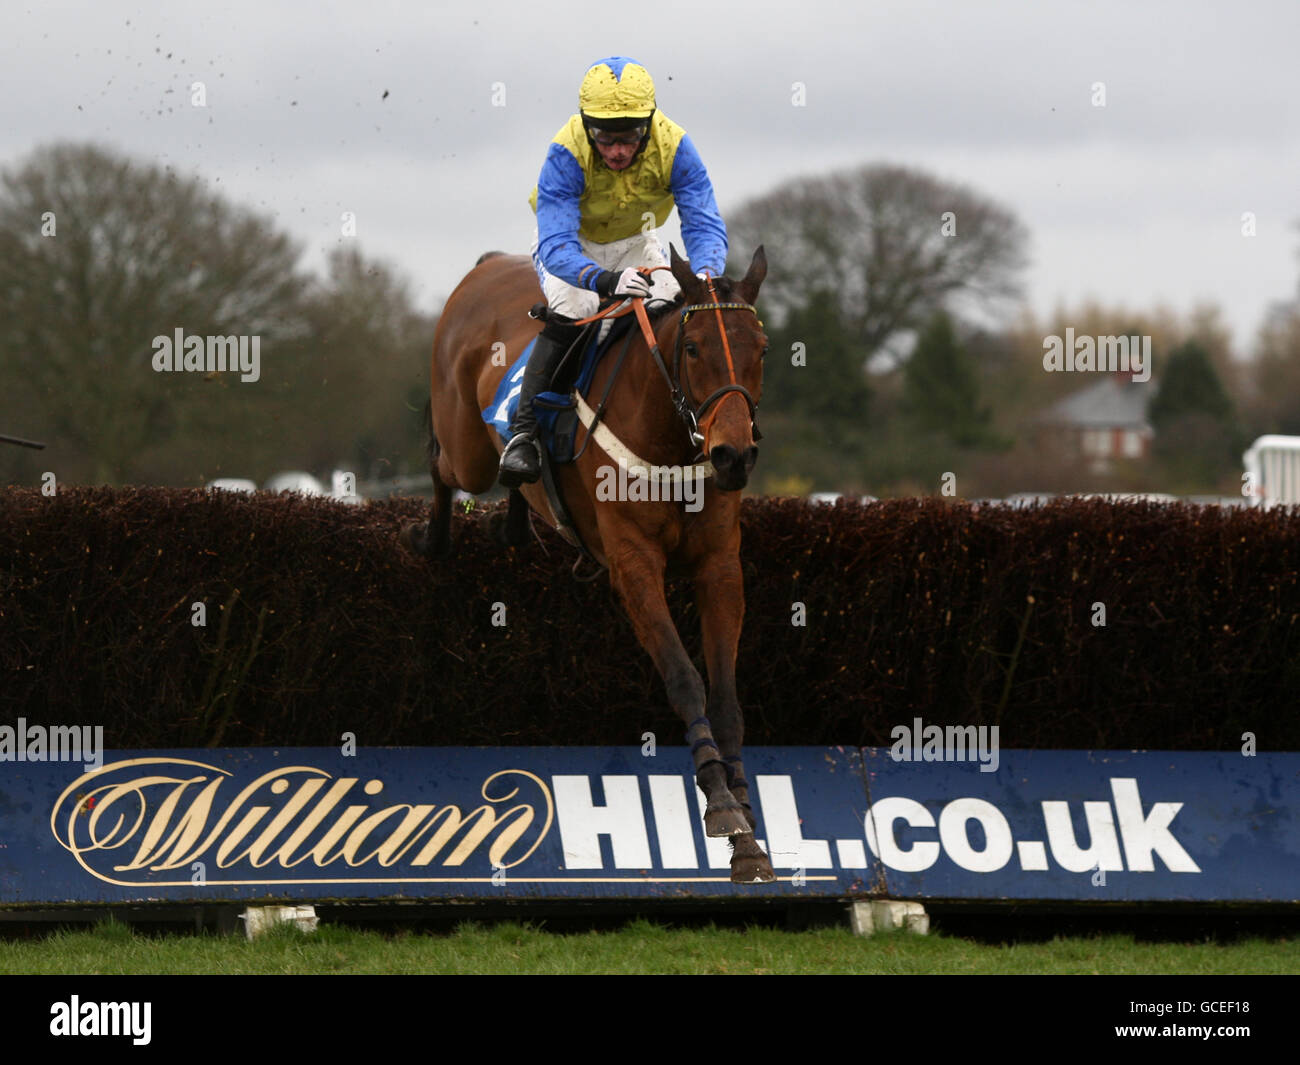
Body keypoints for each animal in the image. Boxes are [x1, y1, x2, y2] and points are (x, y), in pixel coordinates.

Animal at [400, 244, 774, 883]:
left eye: (763, 349)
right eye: (693, 347)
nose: (732, 456)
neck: (672, 444)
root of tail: (488, 264)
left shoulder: (720, 566)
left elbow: (725, 693)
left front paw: (747, 820)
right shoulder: (633, 563)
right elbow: (684, 677)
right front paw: (719, 800)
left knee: (507, 487)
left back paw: (514, 515)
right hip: (465, 444)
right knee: (443, 463)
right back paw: (432, 536)